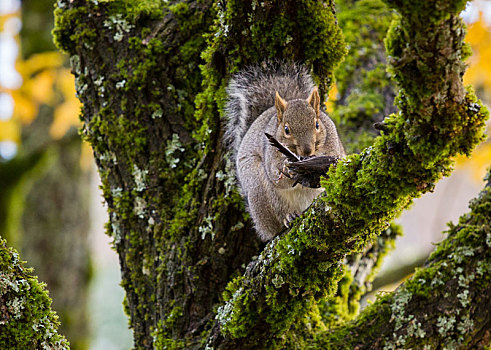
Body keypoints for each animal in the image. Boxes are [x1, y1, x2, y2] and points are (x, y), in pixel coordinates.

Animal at [225, 62, 344, 241]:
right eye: (286, 129)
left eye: (317, 124)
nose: (307, 151)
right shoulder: (271, 152)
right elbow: (277, 177)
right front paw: (288, 169)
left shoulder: (333, 143)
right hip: (261, 194)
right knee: (277, 220)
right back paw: (288, 218)